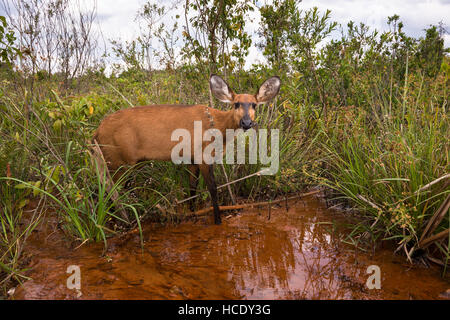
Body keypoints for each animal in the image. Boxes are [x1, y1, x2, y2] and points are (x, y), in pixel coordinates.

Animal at [92, 75, 280, 225]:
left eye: (254, 105)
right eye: (236, 104)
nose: (247, 122)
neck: (217, 126)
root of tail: (96, 132)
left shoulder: (192, 158)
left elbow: (192, 188)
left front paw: (193, 213)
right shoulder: (203, 155)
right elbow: (212, 188)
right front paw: (218, 220)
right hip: (117, 160)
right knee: (109, 189)